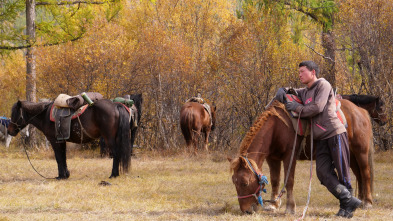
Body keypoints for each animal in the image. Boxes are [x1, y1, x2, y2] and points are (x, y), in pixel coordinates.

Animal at [228, 100, 372, 214]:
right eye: (234, 182)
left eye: (245, 183)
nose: (246, 210)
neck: (276, 127)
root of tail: (361, 111)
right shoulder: (272, 158)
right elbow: (275, 180)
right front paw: (273, 205)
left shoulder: (289, 157)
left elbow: (289, 181)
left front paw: (290, 207)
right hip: (351, 156)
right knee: (359, 176)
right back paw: (360, 200)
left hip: (360, 152)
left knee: (365, 174)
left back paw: (367, 202)